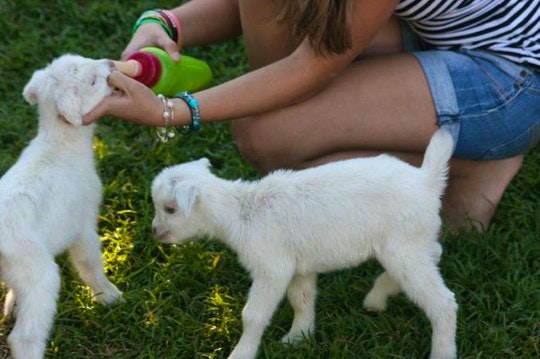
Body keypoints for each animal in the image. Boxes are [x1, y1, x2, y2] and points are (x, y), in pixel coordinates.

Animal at [0, 54, 123, 359]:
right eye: (93, 81)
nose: (111, 64)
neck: (60, 143)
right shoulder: (82, 223)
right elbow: (90, 262)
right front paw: (109, 295)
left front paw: (11, 305)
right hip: (38, 272)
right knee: (24, 337)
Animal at [152, 130, 460, 359]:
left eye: (170, 209)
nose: (155, 232)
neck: (241, 212)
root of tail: (427, 181)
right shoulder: (299, 266)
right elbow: (301, 299)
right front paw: (298, 337)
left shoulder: (272, 266)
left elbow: (253, 315)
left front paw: (242, 352)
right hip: (411, 239)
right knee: (433, 252)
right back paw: (378, 296)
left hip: (401, 244)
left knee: (443, 302)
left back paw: (441, 350)